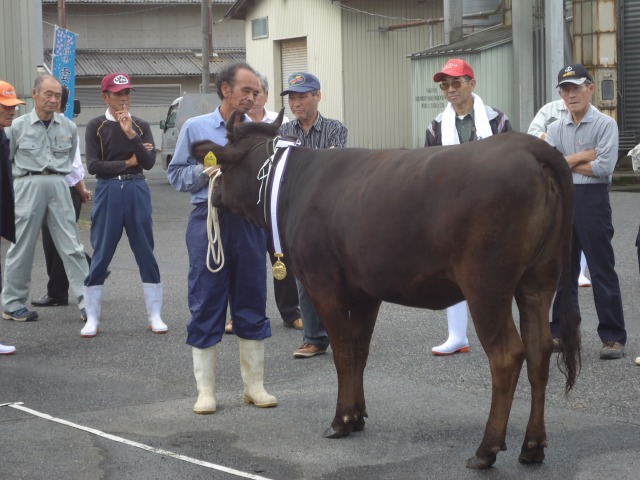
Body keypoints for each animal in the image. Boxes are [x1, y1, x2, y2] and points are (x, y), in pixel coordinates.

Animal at [190, 109, 580, 468]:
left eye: (224, 162)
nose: (214, 192)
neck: (291, 185)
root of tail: (529, 147)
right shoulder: (366, 291)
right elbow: (360, 351)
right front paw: (358, 416)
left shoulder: (324, 284)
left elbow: (344, 351)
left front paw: (340, 421)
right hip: (538, 282)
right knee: (540, 349)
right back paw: (532, 446)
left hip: (487, 284)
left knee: (507, 355)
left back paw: (486, 450)